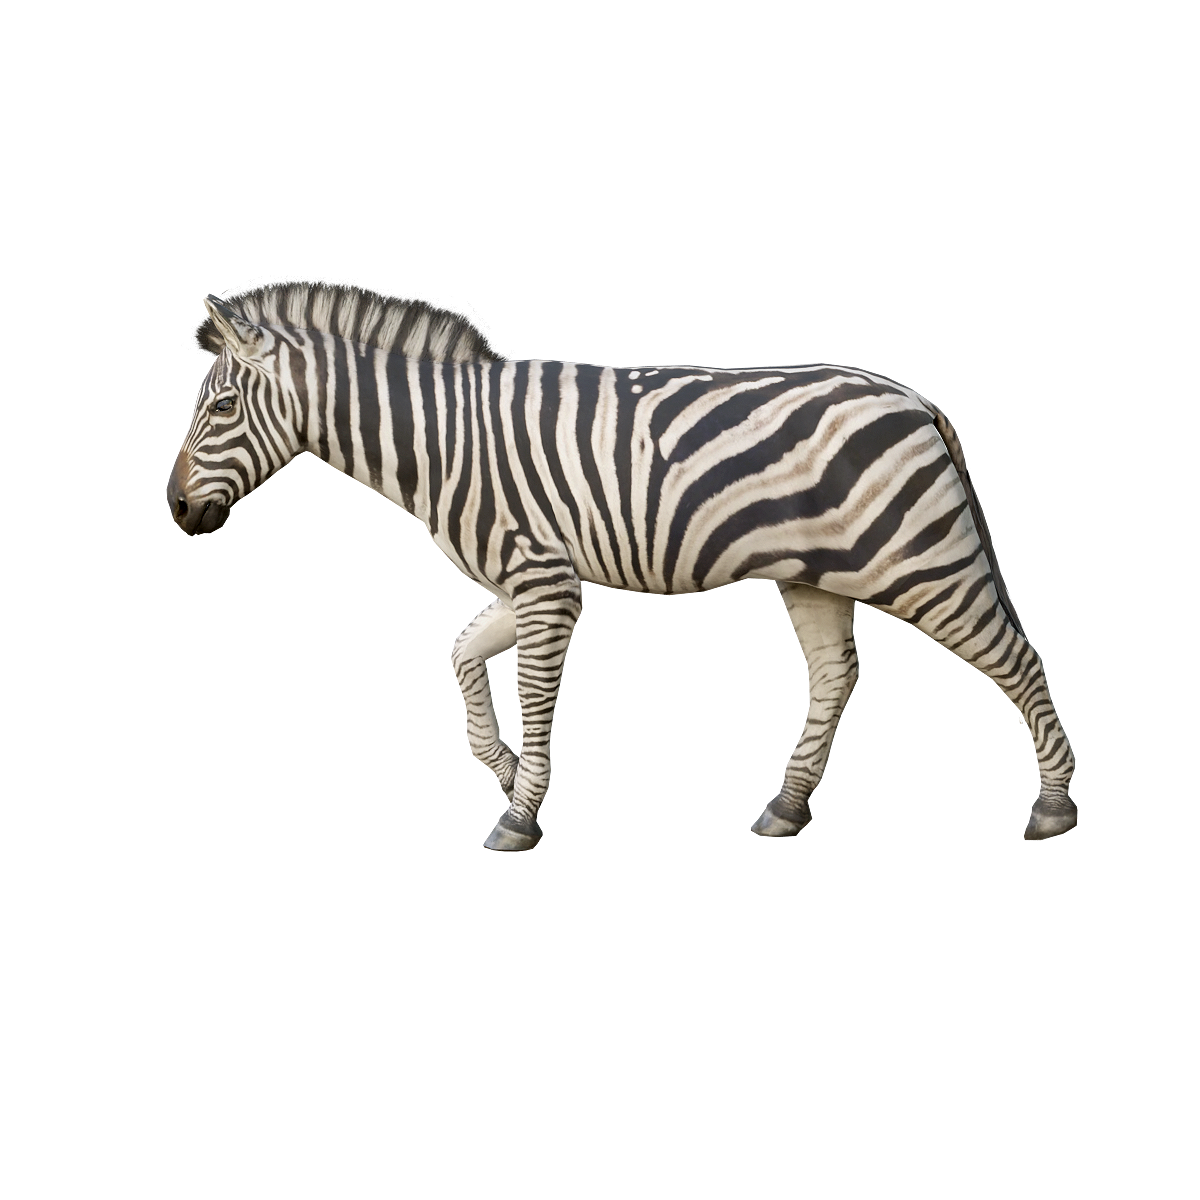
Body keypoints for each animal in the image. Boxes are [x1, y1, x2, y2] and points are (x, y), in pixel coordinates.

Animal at [169, 278, 1078, 851]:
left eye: (222, 407)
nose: (179, 515)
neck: (446, 440)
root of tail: (913, 396)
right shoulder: (523, 576)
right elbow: (463, 658)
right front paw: (500, 767)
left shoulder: (544, 577)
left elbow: (531, 692)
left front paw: (519, 814)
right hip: (818, 574)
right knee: (834, 676)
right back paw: (786, 809)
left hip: (925, 561)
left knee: (1020, 662)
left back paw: (1052, 810)